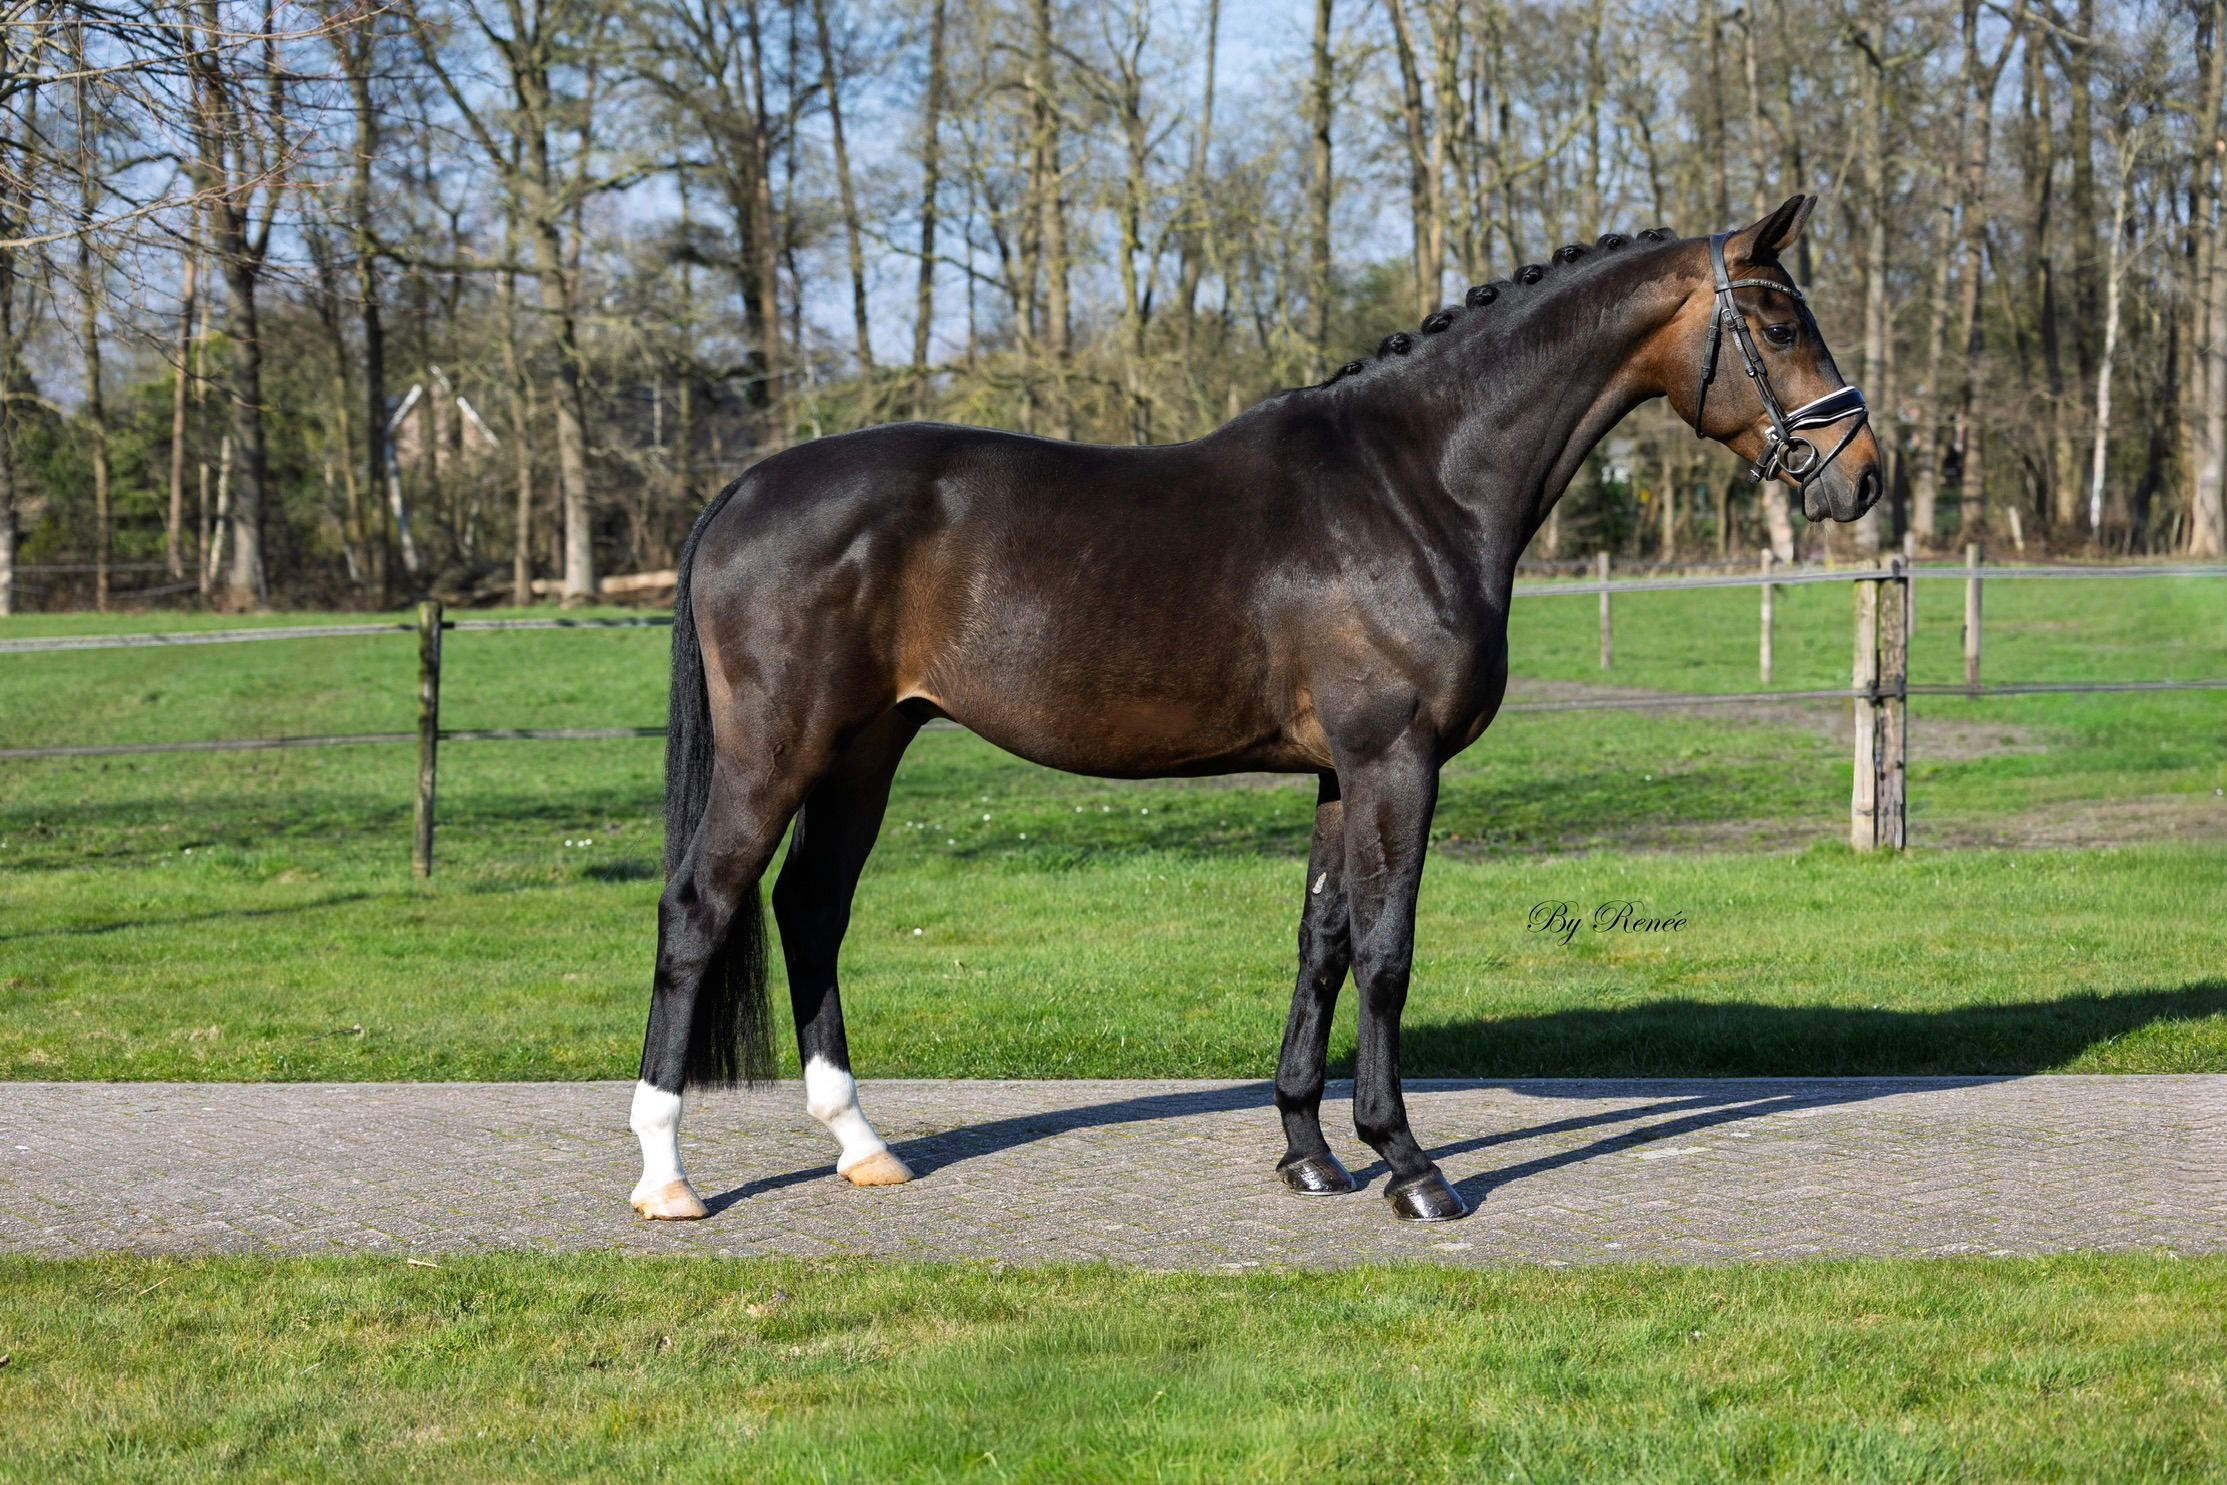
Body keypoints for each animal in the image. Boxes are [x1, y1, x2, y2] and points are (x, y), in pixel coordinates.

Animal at [628, 193, 1882, 1226]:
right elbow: (1385, 952)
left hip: (864, 749)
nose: (1863, 473)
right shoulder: (1396, 761)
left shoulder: (1337, 773)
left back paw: (861, 1147)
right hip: (781, 747)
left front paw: (1310, 1155)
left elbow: (1319, 946)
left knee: (809, 909)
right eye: (1778, 325)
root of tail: (741, 491)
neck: (1415, 482)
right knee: (700, 907)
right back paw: (667, 1176)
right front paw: (1408, 1165)